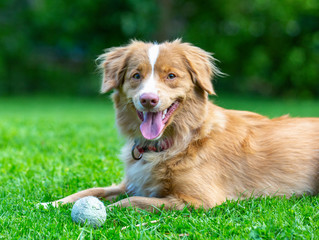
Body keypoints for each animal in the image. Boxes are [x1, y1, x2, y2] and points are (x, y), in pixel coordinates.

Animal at [42, 39, 319, 210]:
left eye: (171, 76)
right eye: (136, 75)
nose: (148, 99)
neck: (179, 140)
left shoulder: (199, 201)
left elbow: (131, 203)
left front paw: (106, 209)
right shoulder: (131, 182)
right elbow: (93, 190)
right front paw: (51, 203)